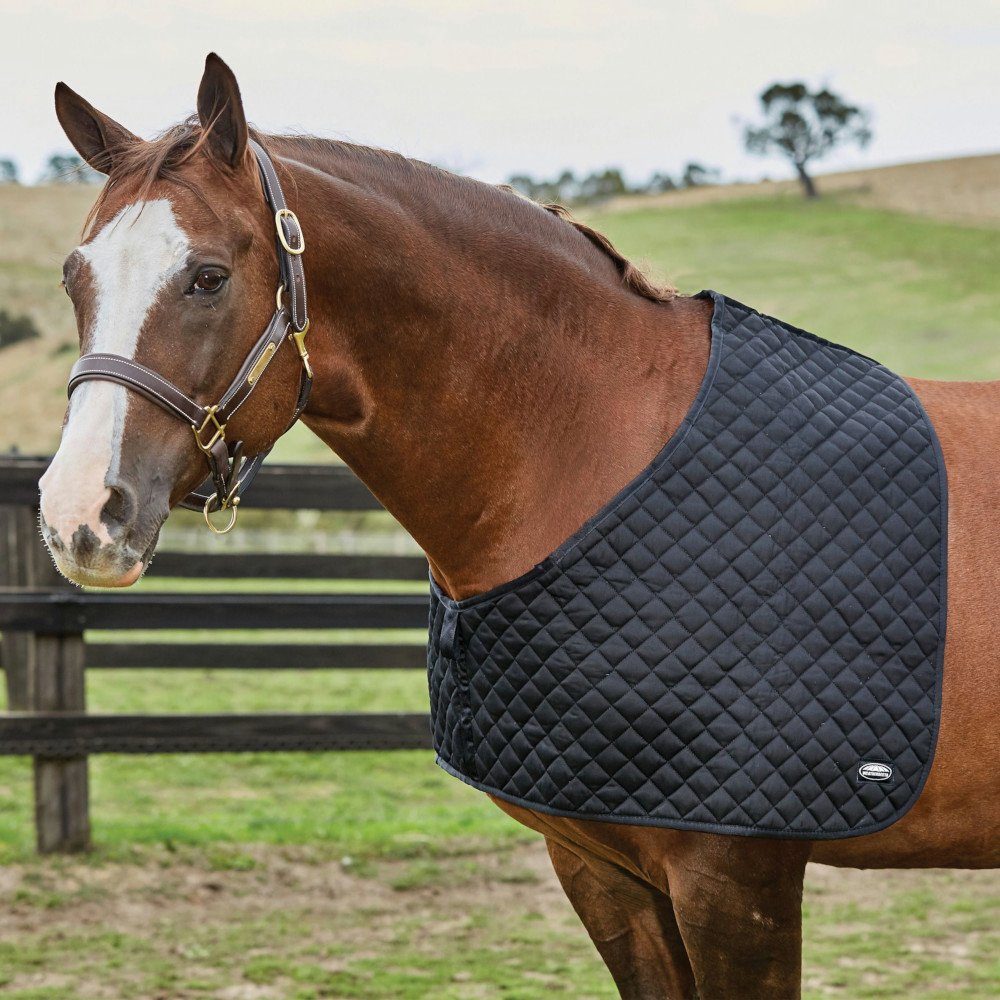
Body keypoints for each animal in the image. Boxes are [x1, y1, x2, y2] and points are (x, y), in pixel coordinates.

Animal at [39, 54, 998, 998]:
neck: (597, 451)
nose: (79, 512)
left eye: (207, 276)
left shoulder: (736, 880)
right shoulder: (602, 866)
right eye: (74, 278)